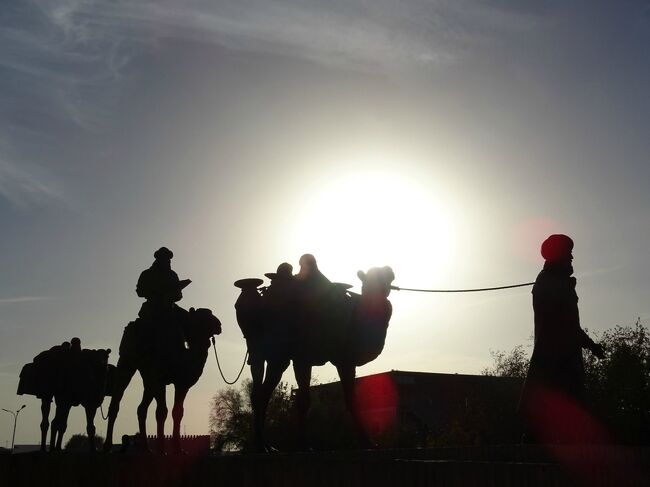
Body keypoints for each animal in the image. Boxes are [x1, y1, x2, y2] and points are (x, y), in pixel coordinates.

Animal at [103, 304, 220, 454]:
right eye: (203, 316)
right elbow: (162, 411)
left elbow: (178, 411)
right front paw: (161, 449)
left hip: (147, 378)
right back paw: (107, 446)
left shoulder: (182, 384)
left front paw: (178, 449)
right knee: (116, 401)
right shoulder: (159, 378)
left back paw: (146, 449)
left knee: (141, 408)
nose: (219, 325)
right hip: (127, 361)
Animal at [235, 266, 392, 450]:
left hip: (277, 359)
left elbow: (351, 398)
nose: (389, 271)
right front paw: (303, 444)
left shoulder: (344, 360)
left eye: (389, 278)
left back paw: (265, 445)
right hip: (262, 349)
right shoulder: (303, 358)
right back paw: (260, 445)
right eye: (368, 280)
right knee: (259, 391)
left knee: (263, 392)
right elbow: (304, 400)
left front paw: (368, 442)